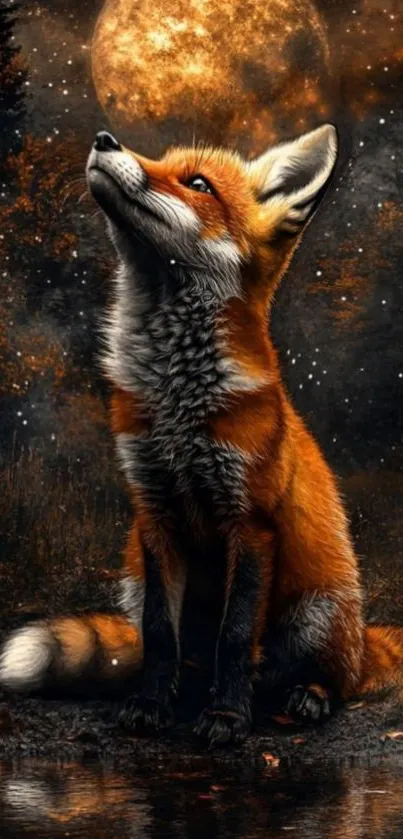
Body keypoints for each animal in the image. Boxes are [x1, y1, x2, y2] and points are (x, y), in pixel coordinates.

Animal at [1, 124, 403, 747]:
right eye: (161, 160)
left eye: (197, 184)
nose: (104, 139)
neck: (178, 405)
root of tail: (362, 638)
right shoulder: (154, 511)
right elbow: (159, 634)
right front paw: (152, 704)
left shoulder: (250, 520)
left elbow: (235, 637)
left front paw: (228, 717)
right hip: (134, 577)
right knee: (182, 653)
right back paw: (188, 691)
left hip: (317, 612)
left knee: (336, 679)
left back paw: (306, 696)